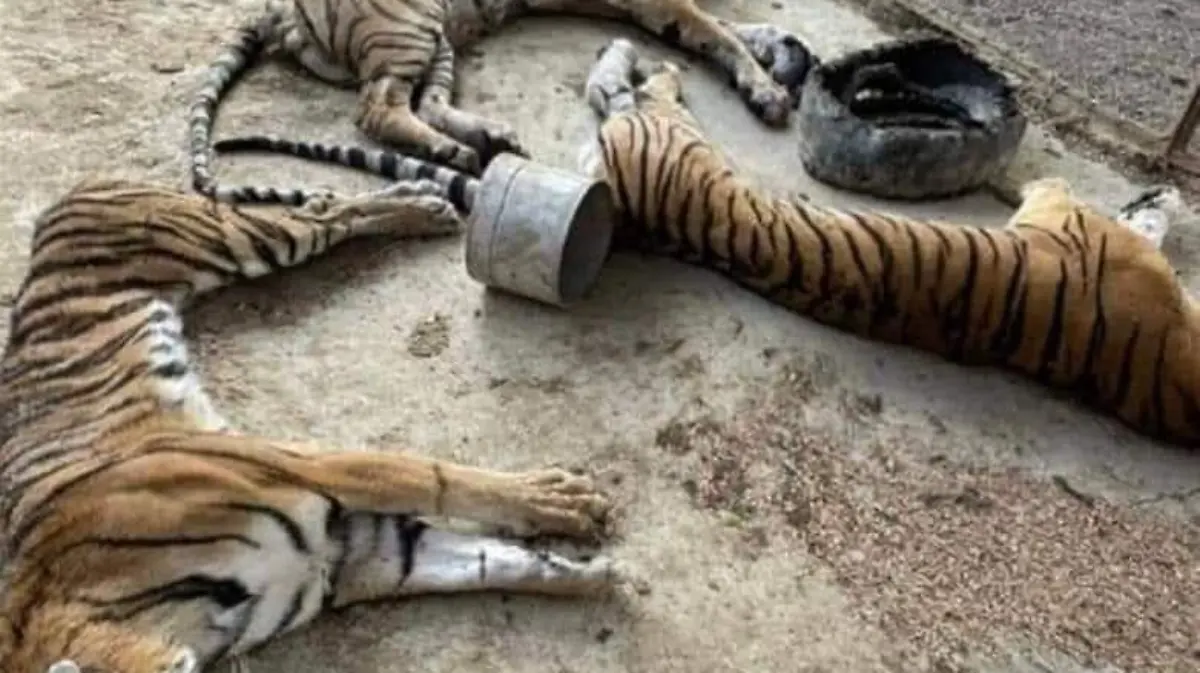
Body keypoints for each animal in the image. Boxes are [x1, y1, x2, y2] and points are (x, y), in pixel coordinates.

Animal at [0, 167, 622, 673]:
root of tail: (70, 195)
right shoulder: (354, 557)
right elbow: (488, 562)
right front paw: (590, 573)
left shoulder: (300, 464)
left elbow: (439, 478)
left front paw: (562, 501)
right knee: (323, 204)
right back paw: (420, 198)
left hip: (231, 240)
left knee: (320, 214)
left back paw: (421, 205)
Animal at [187, 0, 818, 204]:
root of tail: (274, 9)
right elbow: (713, 29)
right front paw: (766, 86)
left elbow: (716, 24)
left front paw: (780, 47)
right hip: (408, 26)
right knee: (377, 107)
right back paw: (460, 151)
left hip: (438, 38)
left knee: (426, 104)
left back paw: (482, 139)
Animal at [575, 38, 1199, 446]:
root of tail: (628, 208)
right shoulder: (1061, 210)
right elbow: (1064, 187)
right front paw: (1163, 196)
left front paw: (1159, 198)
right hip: (674, 132)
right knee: (644, 90)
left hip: (668, 133)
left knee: (641, 94)